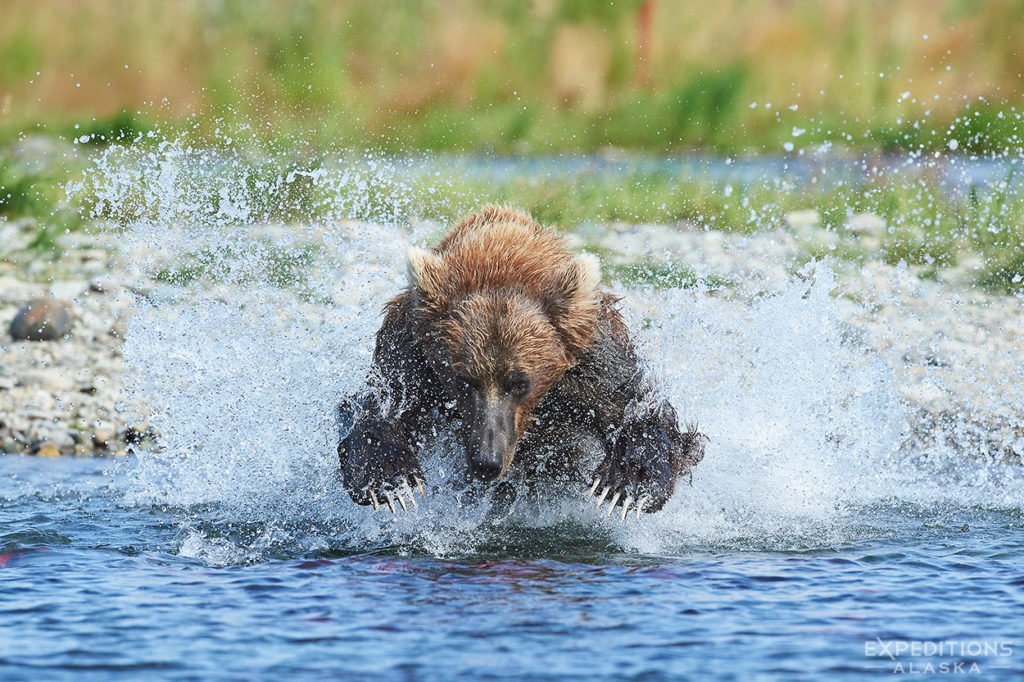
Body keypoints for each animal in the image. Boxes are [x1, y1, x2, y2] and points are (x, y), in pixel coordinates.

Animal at [335, 204, 704, 518]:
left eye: (520, 383)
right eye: (463, 381)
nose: (486, 461)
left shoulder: (592, 360)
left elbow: (637, 406)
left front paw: (624, 486)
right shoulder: (413, 353)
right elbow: (380, 401)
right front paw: (390, 481)